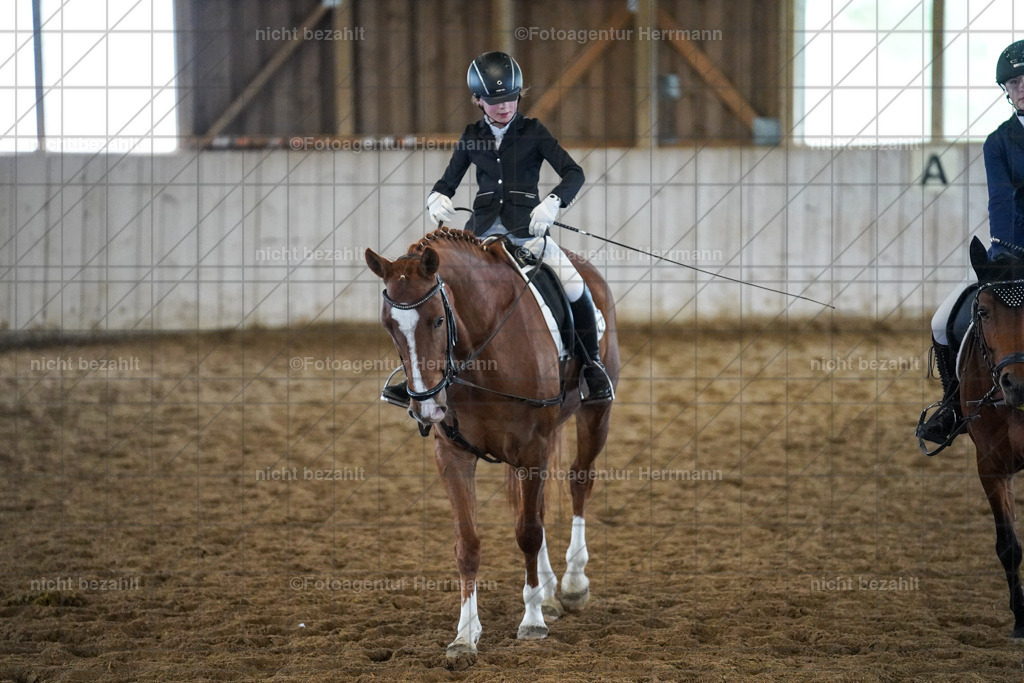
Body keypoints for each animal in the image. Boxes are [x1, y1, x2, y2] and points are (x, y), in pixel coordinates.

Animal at [364, 227, 619, 669]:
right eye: (388, 326)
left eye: (437, 319)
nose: (426, 406)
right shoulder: (453, 456)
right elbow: (468, 544)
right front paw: (464, 637)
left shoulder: (532, 449)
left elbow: (528, 533)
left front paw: (532, 621)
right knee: (536, 505)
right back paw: (549, 592)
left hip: (594, 415)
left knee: (579, 483)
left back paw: (572, 585)